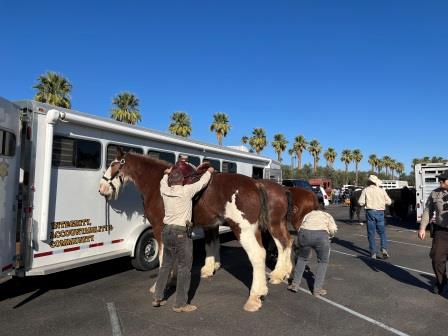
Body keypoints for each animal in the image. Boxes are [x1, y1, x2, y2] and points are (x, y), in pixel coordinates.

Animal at [99, 152, 272, 312]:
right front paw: (172, 280)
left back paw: (254, 298)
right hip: (253, 230)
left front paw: (159, 287)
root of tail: (255, 184)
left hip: (243, 229)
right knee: (262, 253)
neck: (156, 184)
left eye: (113, 164)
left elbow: (163, 259)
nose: (102, 188)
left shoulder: (159, 228)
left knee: (257, 255)